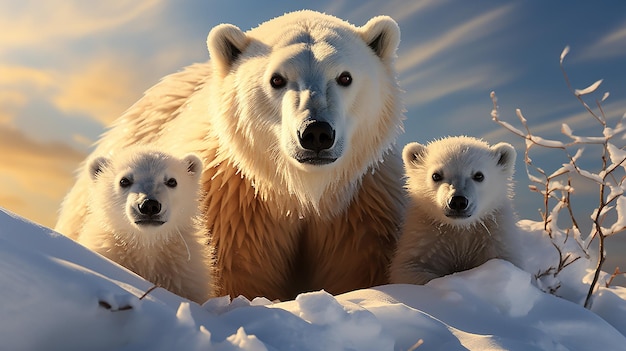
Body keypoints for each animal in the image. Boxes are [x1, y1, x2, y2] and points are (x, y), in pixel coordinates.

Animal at [390, 137, 516, 286]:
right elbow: (409, 269)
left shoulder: (494, 237)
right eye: (436, 175)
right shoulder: (424, 241)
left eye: (479, 175)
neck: (459, 229)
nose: (458, 201)